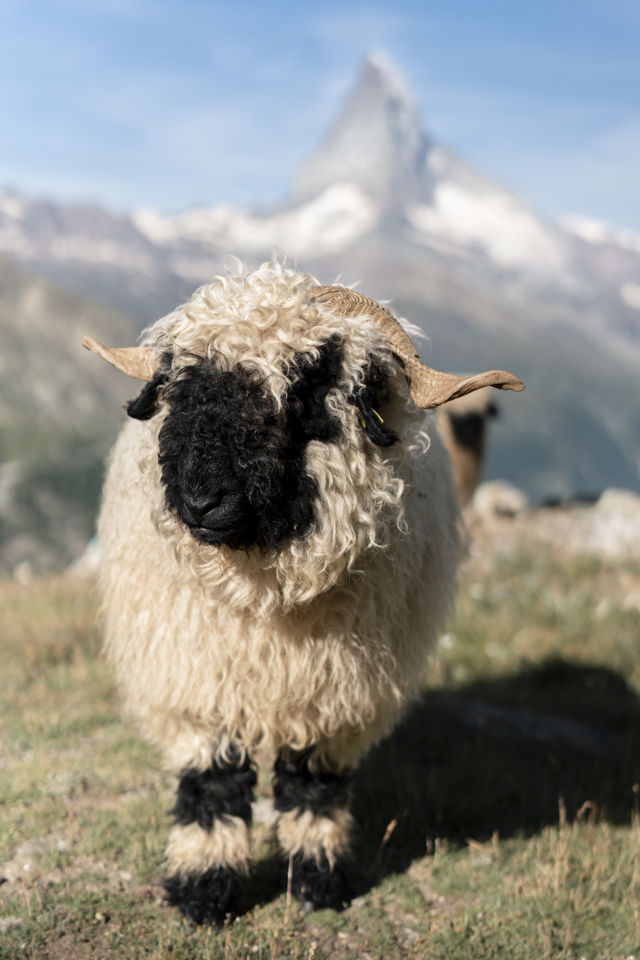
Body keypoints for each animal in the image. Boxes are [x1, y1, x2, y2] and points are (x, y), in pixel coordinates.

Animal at [83, 262, 523, 926]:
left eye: (306, 389)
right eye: (179, 387)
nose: (200, 500)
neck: (268, 604)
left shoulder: (338, 695)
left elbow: (313, 785)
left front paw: (317, 881)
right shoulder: (195, 682)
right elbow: (211, 785)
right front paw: (203, 891)